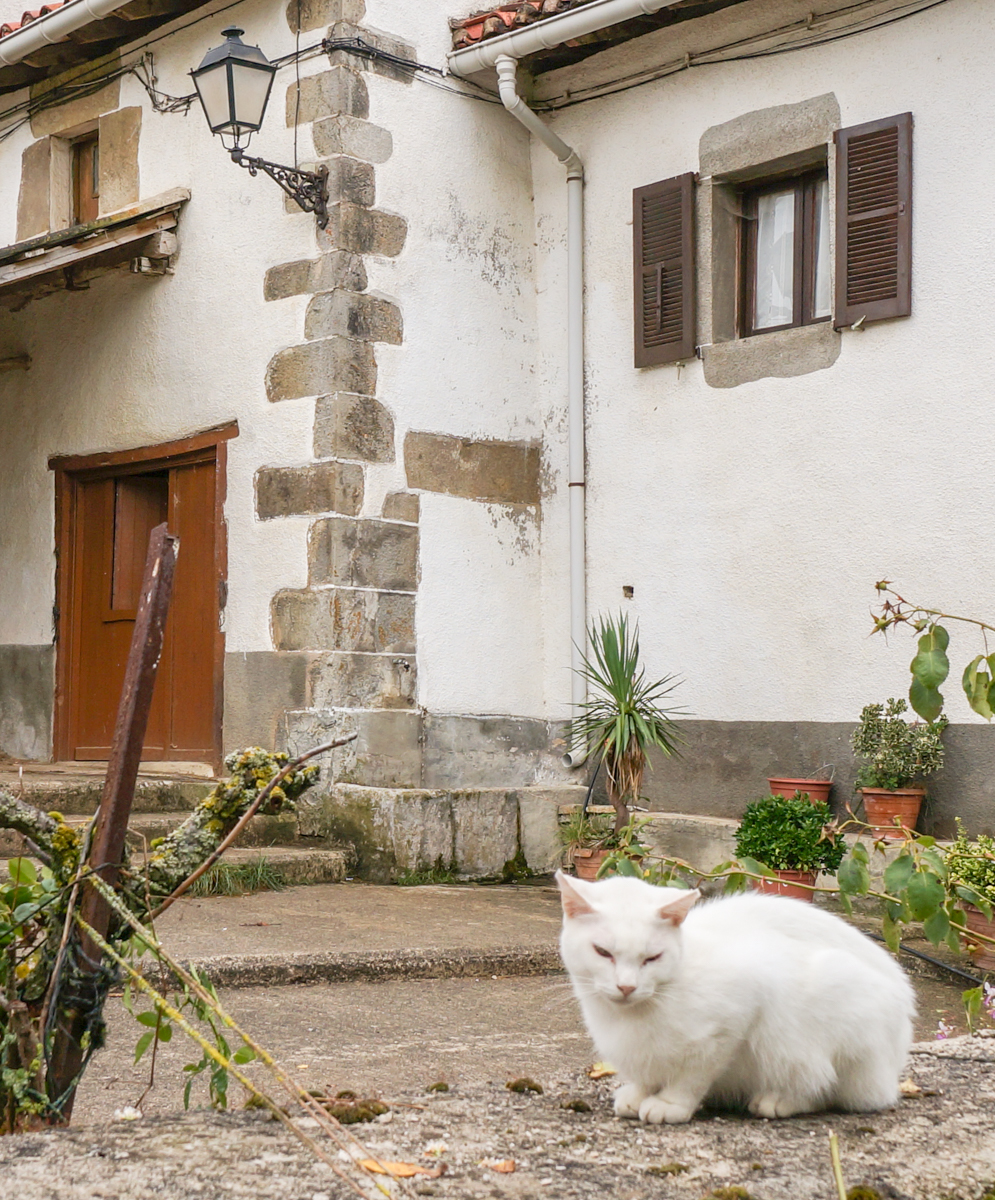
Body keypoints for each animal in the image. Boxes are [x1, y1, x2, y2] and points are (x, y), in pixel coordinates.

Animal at [554, 873, 912, 1123]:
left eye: (652, 958)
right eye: (603, 952)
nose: (627, 987)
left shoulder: (735, 1016)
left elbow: (693, 1075)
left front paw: (671, 1103)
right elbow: (647, 1073)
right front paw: (640, 1092)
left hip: (833, 1003)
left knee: (828, 1087)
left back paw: (779, 1100)